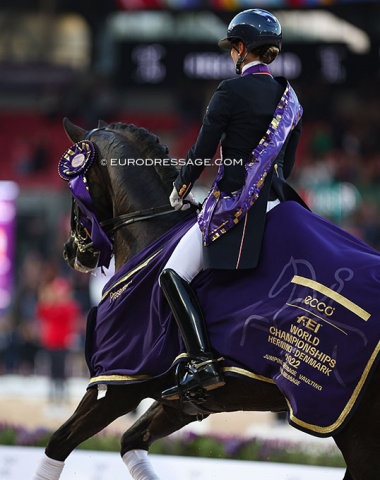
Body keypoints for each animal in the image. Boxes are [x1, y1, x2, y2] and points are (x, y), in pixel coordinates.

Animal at [33, 117, 380, 480]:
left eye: (75, 188)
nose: (71, 251)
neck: (153, 233)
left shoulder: (119, 381)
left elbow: (58, 442)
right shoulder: (180, 403)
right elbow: (131, 441)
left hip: (354, 427)